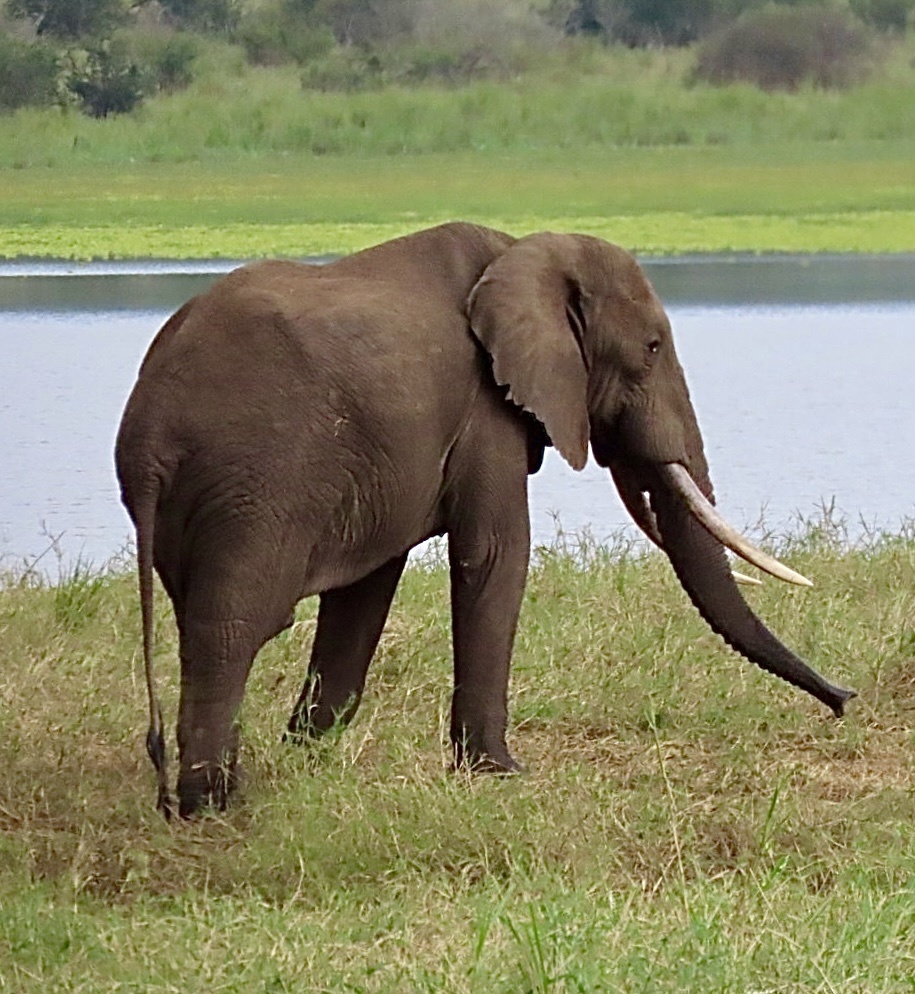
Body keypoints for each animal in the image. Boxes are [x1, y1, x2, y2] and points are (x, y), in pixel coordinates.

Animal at [115, 222, 855, 819]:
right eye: (649, 349)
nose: (846, 700)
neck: (523, 253)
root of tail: (150, 432)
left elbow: (366, 588)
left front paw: (310, 757)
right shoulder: (486, 408)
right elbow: (496, 554)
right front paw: (500, 773)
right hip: (255, 485)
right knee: (230, 628)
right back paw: (213, 804)